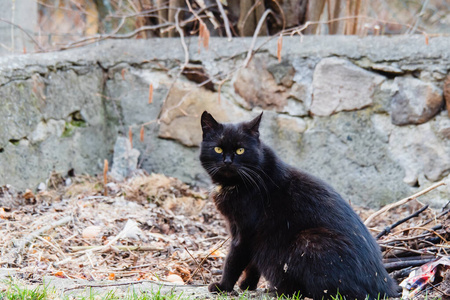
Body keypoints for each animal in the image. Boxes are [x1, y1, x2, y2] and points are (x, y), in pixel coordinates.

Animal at [200, 111, 398, 300]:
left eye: (240, 150)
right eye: (217, 148)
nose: (227, 161)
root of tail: (384, 285)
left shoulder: (244, 232)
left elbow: (233, 261)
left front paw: (223, 286)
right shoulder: (253, 235)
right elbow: (252, 264)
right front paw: (248, 285)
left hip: (308, 241)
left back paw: (282, 290)